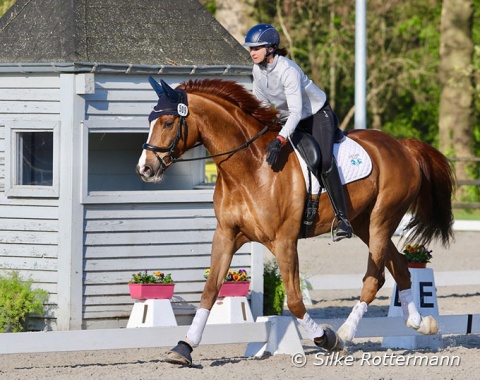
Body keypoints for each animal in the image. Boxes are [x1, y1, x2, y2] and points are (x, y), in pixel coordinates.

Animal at [136, 77, 454, 366]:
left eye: (167, 122)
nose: (144, 169)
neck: (249, 167)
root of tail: (402, 146)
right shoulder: (226, 235)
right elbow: (210, 291)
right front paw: (183, 348)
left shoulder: (284, 241)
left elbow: (294, 300)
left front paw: (325, 338)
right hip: (365, 223)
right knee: (400, 267)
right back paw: (420, 323)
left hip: (381, 220)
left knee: (375, 277)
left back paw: (344, 334)